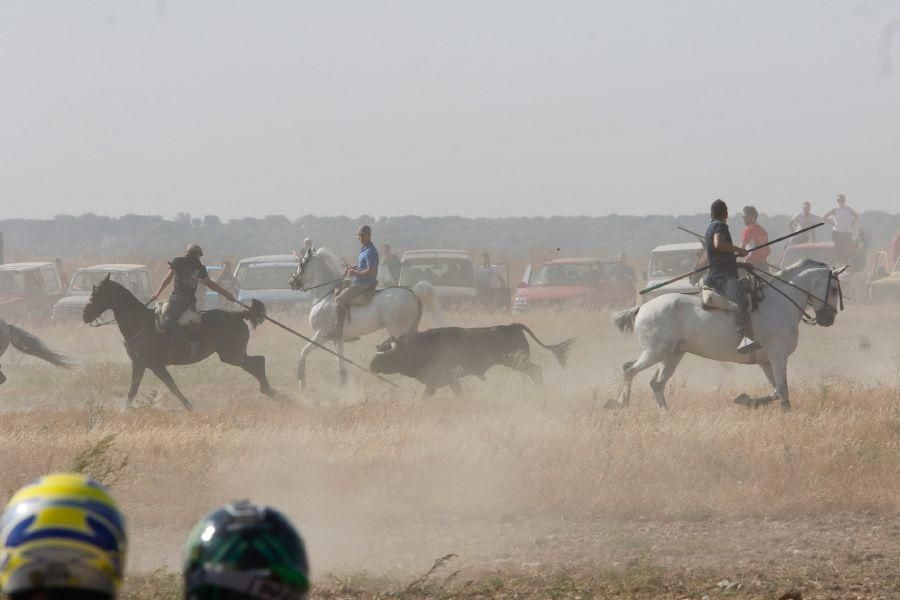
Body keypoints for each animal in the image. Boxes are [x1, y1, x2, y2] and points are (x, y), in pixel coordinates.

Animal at [84, 276, 274, 408]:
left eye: (96, 295)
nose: (85, 315)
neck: (139, 322)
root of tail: (237, 315)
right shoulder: (138, 364)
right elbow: (133, 389)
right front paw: (126, 410)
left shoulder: (156, 365)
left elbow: (172, 387)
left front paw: (189, 407)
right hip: (234, 354)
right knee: (258, 361)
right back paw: (272, 393)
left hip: (231, 355)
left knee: (257, 362)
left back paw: (271, 392)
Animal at [288, 247, 442, 390]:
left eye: (301, 263)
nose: (291, 282)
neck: (325, 296)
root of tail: (412, 291)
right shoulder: (336, 337)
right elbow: (340, 358)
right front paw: (342, 383)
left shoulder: (322, 334)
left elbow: (304, 350)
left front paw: (301, 381)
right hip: (410, 329)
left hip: (399, 331)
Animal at [370, 324, 572, 394]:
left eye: (386, 354)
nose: (371, 366)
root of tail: (512, 325)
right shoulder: (450, 382)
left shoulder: (437, 382)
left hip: (517, 362)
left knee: (536, 371)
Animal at [608, 260, 848, 410]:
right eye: (834, 289)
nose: (828, 319)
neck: (779, 303)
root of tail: (643, 307)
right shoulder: (777, 357)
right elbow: (780, 389)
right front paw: (759, 403)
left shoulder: (767, 361)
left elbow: (779, 390)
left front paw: (754, 402)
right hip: (655, 352)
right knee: (629, 370)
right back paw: (621, 403)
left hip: (672, 355)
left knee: (655, 383)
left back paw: (664, 412)